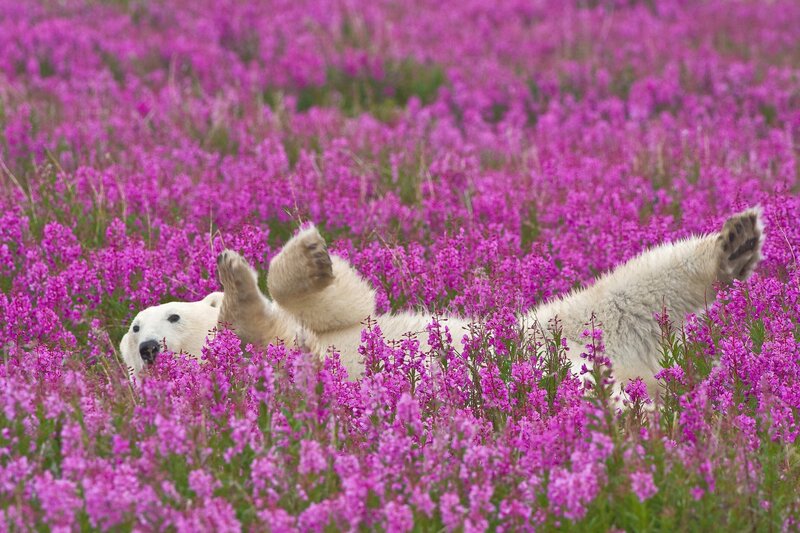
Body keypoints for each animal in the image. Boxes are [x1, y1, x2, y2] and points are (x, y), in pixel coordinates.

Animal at [120, 208, 764, 396]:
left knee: (634, 287)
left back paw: (735, 242)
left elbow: (347, 304)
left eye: (167, 314)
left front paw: (298, 257)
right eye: (133, 330)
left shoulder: (333, 327)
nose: (149, 347)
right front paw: (238, 287)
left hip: (556, 327)